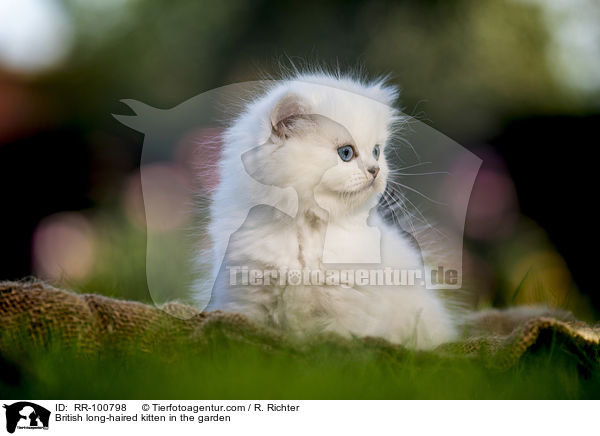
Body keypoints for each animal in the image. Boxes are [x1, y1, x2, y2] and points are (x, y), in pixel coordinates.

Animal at [195, 72, 458, 350]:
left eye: (377, 151)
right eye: (346, 153)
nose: (375, 170)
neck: (308, 226)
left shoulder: (349, 307)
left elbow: (338, 344)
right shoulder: (245, 296)